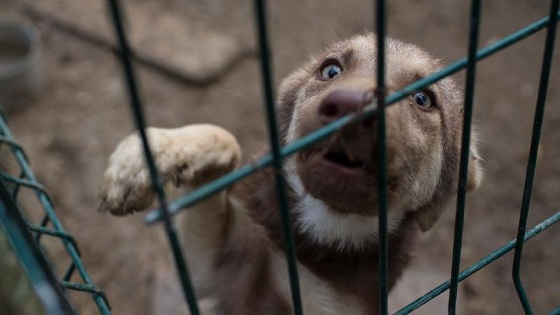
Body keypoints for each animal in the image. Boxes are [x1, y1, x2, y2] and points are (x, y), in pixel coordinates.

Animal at [97, 33, 482, 314]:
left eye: (423, 99)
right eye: (331, 71)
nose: (348, 106)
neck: (320, 231)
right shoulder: (204, 268)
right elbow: (225, 139)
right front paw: (146, 156)